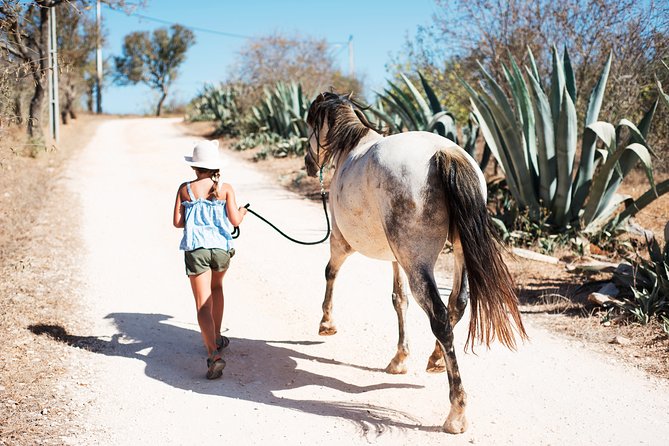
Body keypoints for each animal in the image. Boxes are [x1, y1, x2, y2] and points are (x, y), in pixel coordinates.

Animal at [302, 92, 528, 434]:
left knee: (440, 317)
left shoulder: (341, 241)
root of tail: (445, 153)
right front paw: (400, 358)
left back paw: (456, 411)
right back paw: (435, 360)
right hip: (451, 253)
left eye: (310, 123)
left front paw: (327, 323)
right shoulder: (396, 258)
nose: (307, 162)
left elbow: (331, 272)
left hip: (416, 261)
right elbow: (399, 299)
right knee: (457, 304)